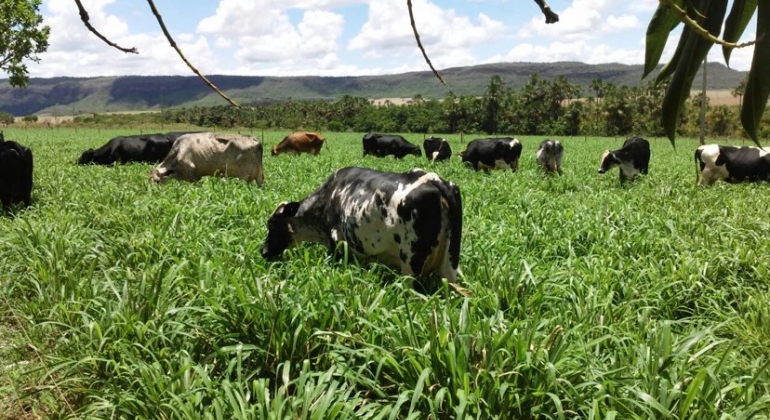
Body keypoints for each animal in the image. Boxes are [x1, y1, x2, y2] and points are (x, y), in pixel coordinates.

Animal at [260, 167, 460, 286]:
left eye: (272, 223)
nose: (263, 251)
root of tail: (433, 179)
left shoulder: (337, 245)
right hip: (449, 266)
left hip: (411, 266)